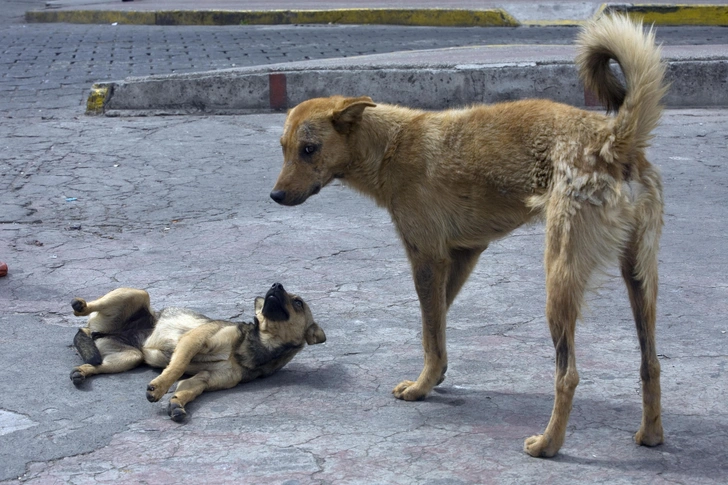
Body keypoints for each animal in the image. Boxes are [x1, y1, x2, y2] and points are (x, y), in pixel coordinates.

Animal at [71, 282, 328, 422]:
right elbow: (177, 368)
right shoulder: (193, 341)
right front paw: (159, 387)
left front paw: (177, 402)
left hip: (127, 357)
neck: (256, 344)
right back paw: (80, 304)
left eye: (298, 303)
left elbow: (187, 388)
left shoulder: (206, 379)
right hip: (136, 294)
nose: (276, 284)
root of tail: (95, 331)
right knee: (88, 308)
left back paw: (82, 371)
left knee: (99, 363)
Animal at [272, 13, 664, 456]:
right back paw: (651, 434)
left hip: (559, 281)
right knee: (650, 363)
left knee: (568, 374)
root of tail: (613, 140)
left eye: (309, 149)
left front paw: (423, 386)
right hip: (639, 278)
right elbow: (437, 324)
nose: (275, 196)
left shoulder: (427, 259)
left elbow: (431, 331)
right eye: (284, 148)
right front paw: (435, 377)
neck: (390, 146)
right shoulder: (463, 254)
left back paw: (549, 443)